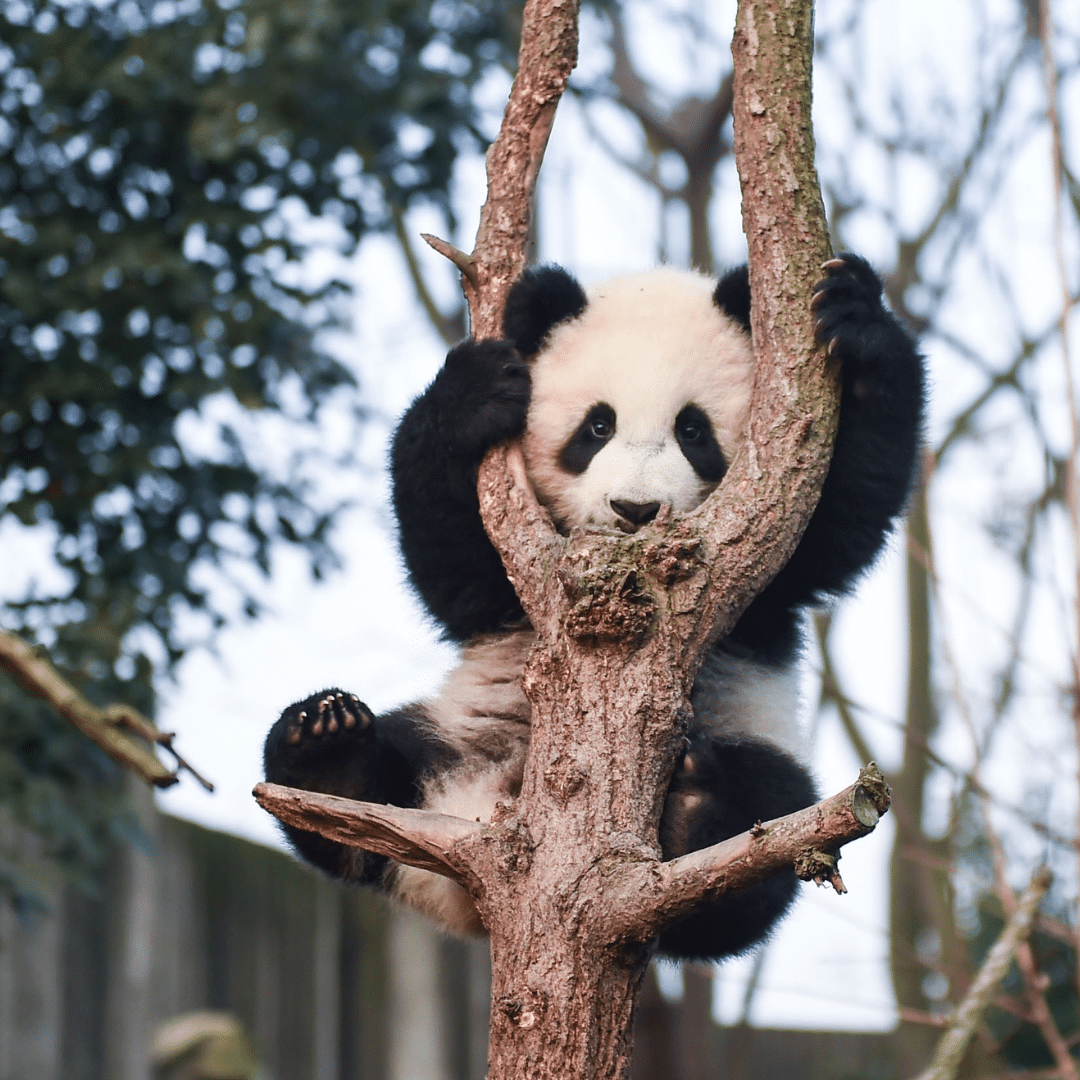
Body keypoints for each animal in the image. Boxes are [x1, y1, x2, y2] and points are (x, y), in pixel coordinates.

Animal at [263, 253, 925, 961]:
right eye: (597, 426)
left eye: (693, 430)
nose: (634, 510)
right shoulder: (513, 577)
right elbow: (452, 567)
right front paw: (473, 394)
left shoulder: (769, 570)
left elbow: (842, 520)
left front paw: (856, 320)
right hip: (456, 735)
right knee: (361, 780)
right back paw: (329, 749)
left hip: (755, 741)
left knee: (765, 827)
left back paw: (698, 811)